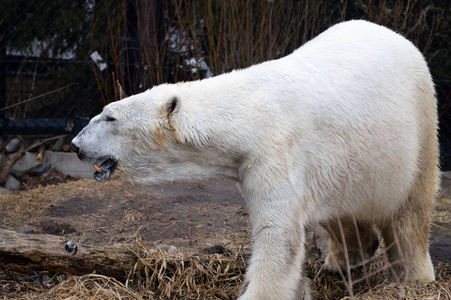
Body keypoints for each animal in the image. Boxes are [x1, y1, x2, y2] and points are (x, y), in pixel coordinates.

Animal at [70, 19, 438, 298]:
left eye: (109, 117)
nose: (75, 144)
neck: (248, 110)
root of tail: (398, 37)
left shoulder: (275, 152)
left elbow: (278, 237)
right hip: (348, 161)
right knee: (343, 208)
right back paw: (344, 259)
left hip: (418, 124)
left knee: (411, 210)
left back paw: (413, 275)